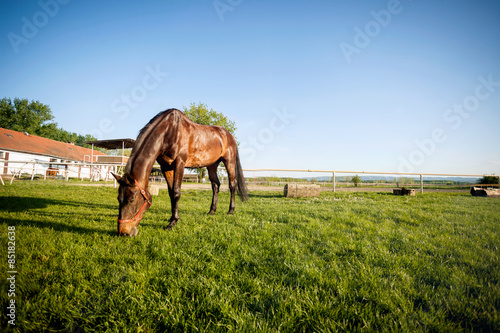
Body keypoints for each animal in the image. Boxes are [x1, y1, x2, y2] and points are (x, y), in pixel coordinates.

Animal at [111, 108, 248, 236]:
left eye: (131, 200)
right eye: (118, 198)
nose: (124, 232)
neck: (169, 132)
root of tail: (229, 135)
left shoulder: (180, 163)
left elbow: (176, 192)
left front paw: (172, 223)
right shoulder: (166, 167)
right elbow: (171, 193)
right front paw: (172, 218)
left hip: (229, 162)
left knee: (232, 185)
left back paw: (230, 211)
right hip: (212, 165)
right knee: (215, 185)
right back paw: (211, 211)